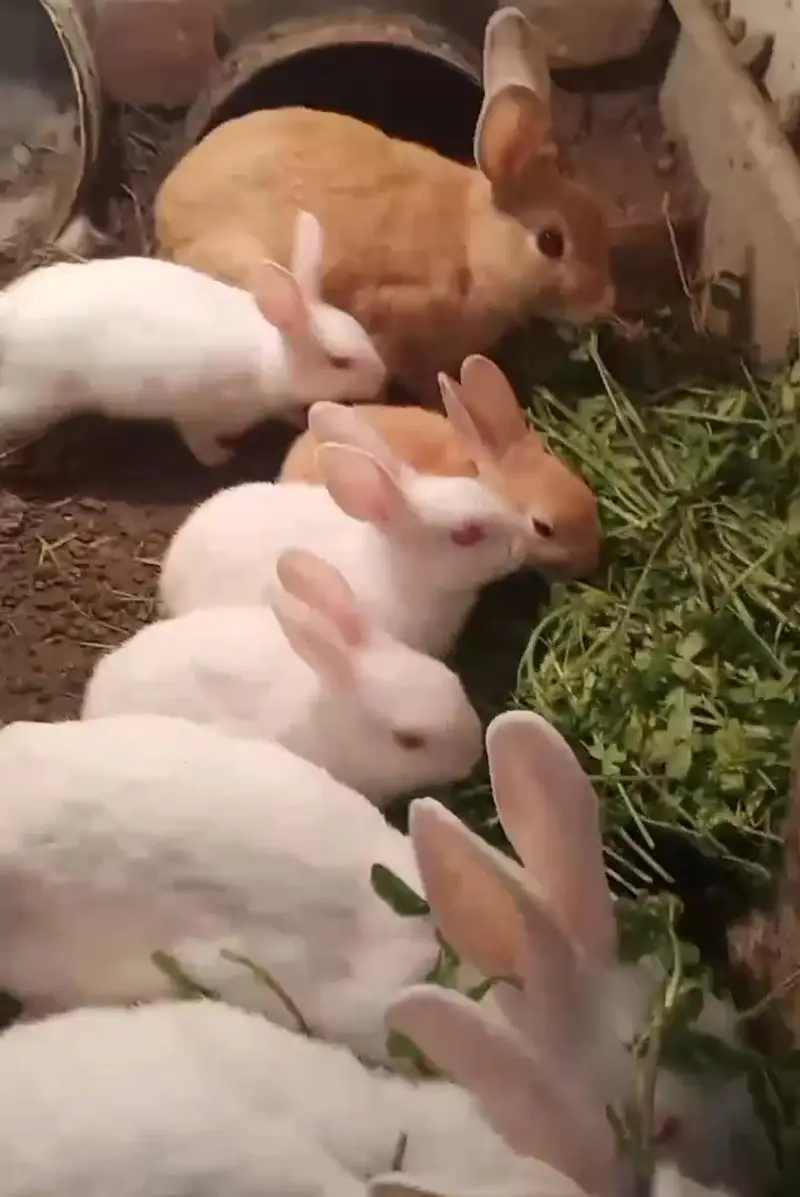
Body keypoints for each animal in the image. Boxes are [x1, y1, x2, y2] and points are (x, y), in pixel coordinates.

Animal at [0, 209, 386, 467]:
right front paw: (222, 458)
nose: (382, 380)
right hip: (32, 401)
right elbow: (199, 443)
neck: (271, 361)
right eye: (339, 361)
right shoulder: (197, 415)